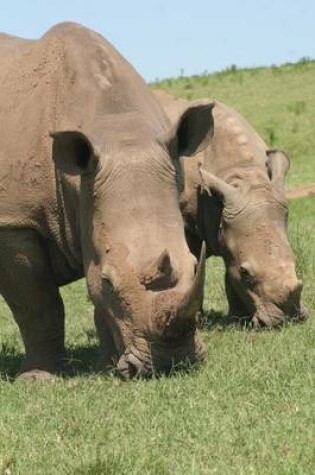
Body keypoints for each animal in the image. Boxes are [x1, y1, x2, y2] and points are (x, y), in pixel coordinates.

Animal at [0, 22, 215, 382]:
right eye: (109, 281)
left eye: (194, 266)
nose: (170, 362)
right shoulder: (15, 221)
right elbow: (38, 306)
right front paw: (38, 379)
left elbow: (100, 307)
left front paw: (107, 365)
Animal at [156, 90, 308, 328]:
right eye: (245, 272)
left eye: (295, 262)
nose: (288, 318)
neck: (244, 173)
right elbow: (194, 264)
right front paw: (197, 321)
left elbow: (229, 268)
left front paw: (238, 319)